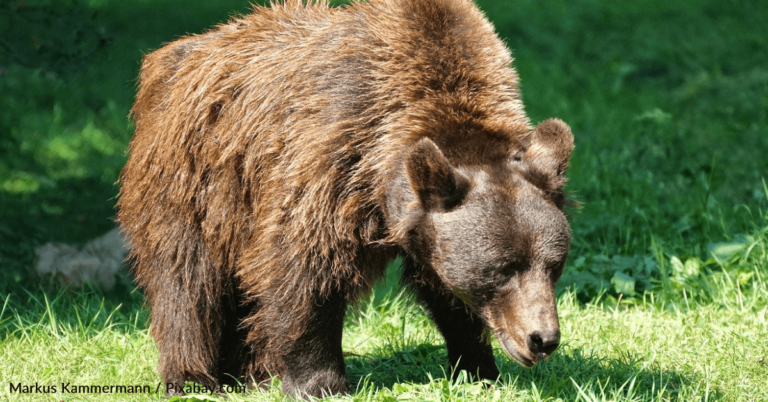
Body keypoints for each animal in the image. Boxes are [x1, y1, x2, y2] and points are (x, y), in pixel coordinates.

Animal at [117, 0, 574, 398]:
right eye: (503, 268)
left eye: (554, 265)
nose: (542, 339)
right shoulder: (331, 160)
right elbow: (304, 271)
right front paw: (319, 382)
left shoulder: (420, 222)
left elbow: (444, 288)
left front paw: (478, 367)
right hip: (195, 179)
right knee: (188, 280)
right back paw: (194, 377)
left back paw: (254, 374)